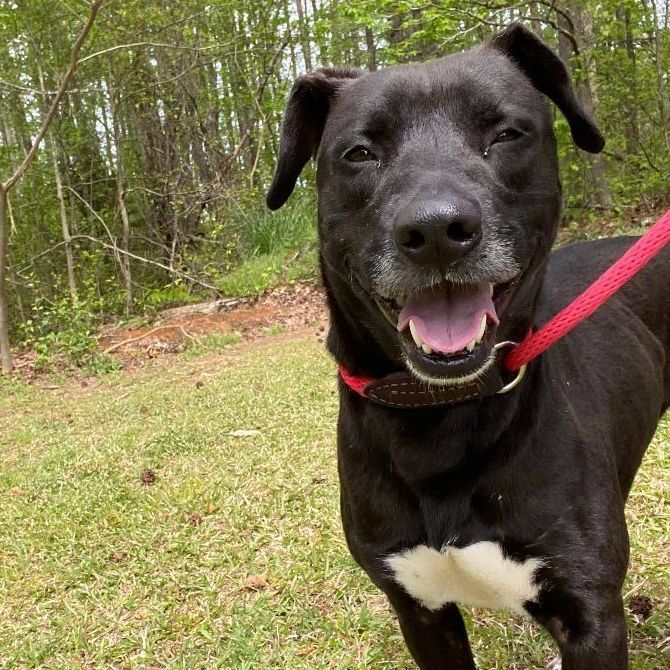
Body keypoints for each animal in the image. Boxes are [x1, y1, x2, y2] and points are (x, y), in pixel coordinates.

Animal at [266, 23, 668, 668]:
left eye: (505, 134)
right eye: (358, 153)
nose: (435, 230)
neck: (439, 418)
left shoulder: (593, 615)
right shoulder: (419, 610)